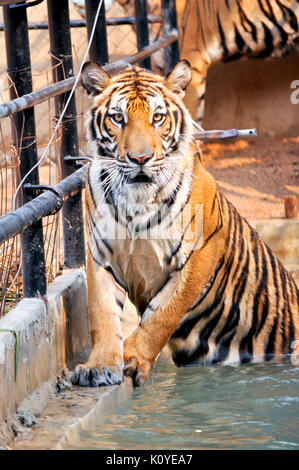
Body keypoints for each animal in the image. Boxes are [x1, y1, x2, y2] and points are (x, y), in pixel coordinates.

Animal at [71, 59, 299, 390]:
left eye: (157, 117)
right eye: (118, 118)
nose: (140, 158)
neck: (136, 203)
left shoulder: (197, 257)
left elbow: (162, 315)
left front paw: (132, 356)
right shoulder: (102, 256)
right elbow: (102, 315)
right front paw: (99, 366)